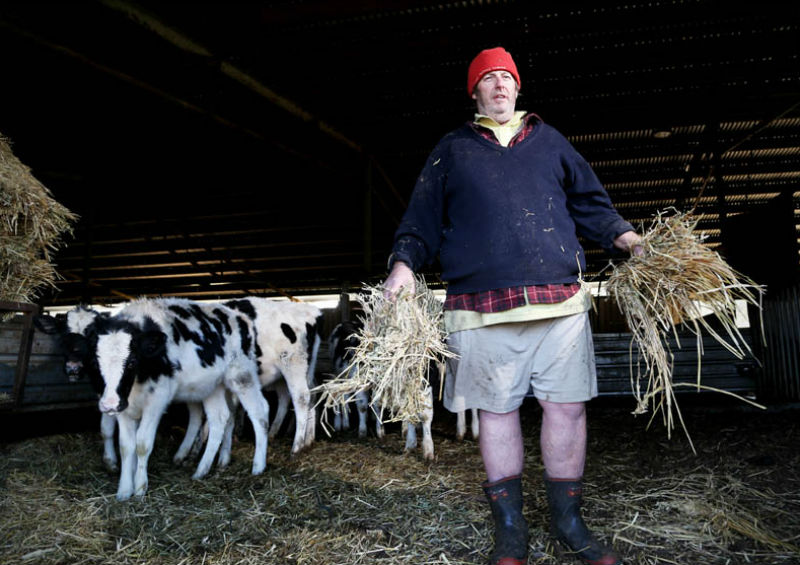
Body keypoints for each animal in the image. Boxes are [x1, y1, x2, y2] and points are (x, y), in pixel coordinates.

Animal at [92, 298, 270, 500]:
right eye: (96, 363)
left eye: (131, 362)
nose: (109, 404)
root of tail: (238, 316)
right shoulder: (124, 408)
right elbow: (125, 446)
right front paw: (124, 490)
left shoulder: (157, 400)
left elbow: (142, 443)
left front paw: (139, 489)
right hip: (212, 385)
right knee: (219, 418)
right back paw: (202, 470)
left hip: (242, 375)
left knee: (260, 412)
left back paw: (258, 466)